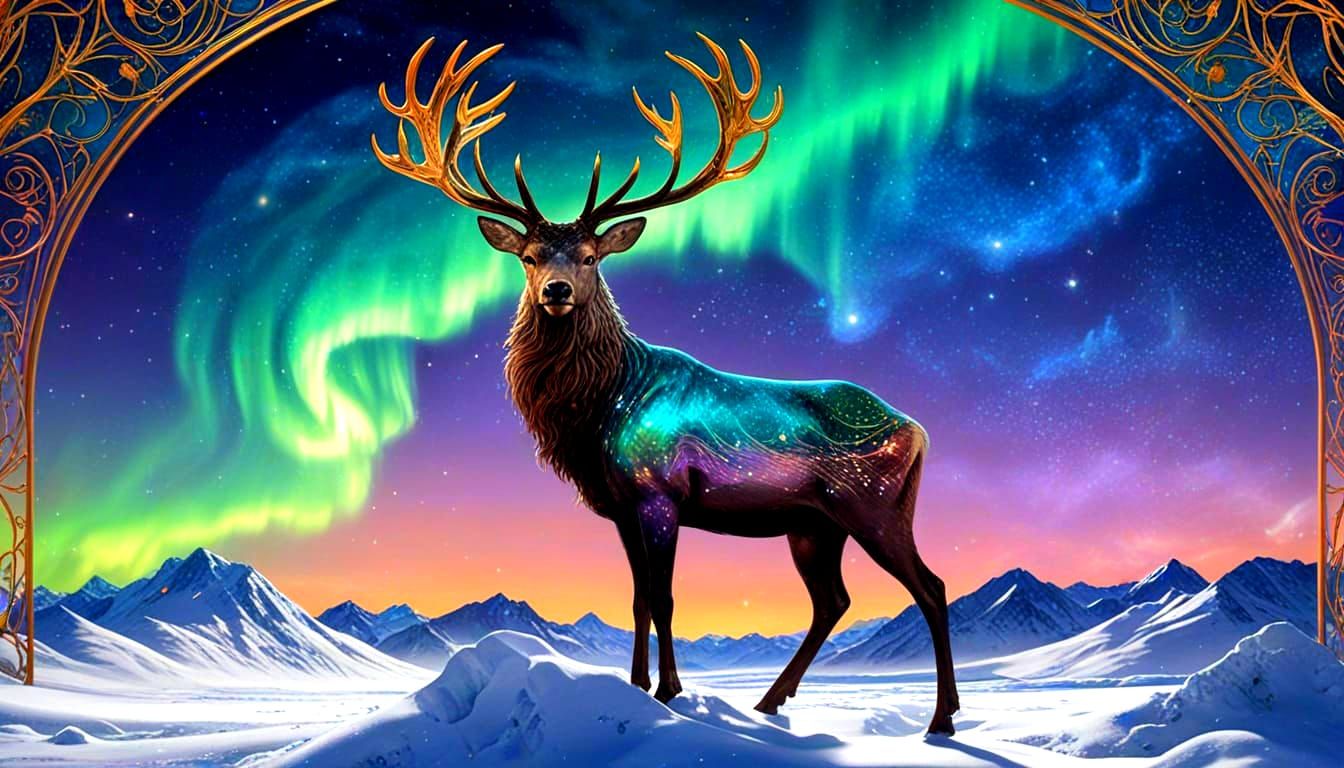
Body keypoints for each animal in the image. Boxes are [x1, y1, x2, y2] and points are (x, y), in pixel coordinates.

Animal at [372, 34, 960, 734]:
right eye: (530, 257)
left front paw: (670, 691)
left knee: (931, 586)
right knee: (834, 600)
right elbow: (637, 599)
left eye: (591, 256)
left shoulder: (661, 494)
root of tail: (919, 430)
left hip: (873, 505)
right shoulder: (621, 507)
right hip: (814, 525)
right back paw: (771, 700)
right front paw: (635, 683)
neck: (595, 413)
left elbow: (666, 595)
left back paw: (941, 719)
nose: (556, 291)